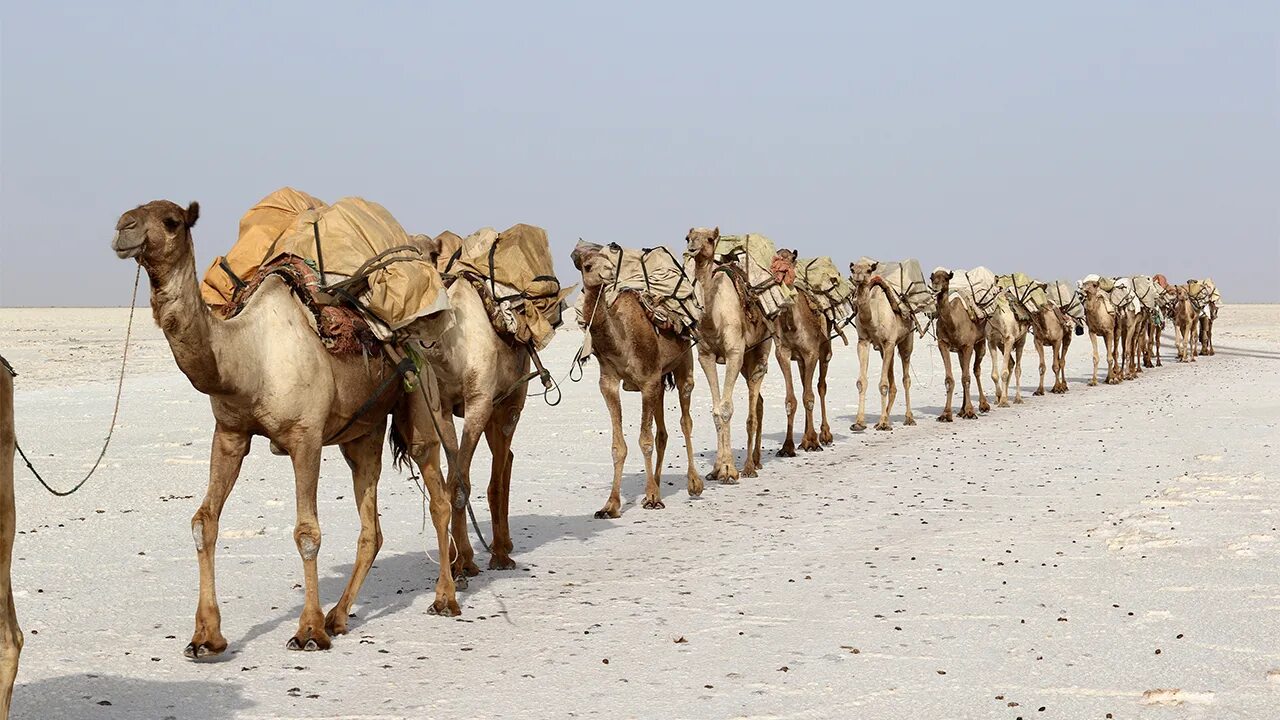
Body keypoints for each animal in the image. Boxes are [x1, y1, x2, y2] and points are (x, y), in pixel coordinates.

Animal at [111, 199, 460, 655]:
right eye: (130, 212)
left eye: (171, 221)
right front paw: (205, 637)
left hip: (419, 400)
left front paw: (308, 631)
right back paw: (339, 616)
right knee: (372, 524)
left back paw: (444, 599)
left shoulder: (305, 437)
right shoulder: (229, 433)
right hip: (361, 434)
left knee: (438, 497)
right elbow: (204, 521)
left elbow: (307, 532)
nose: (124, 229)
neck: (248, 357)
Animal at [576, 249, 706, 512]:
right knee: (662, 433)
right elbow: (618, 446)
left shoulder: (647, 382)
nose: (608, 273)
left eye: (608, 261)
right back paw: (655, 483)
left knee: (685, 420)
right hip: (660, 380)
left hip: (683, 361)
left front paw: (653, 497)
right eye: (587, 266)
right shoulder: (609, 383)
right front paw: (611, 505)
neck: (621, 341)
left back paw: (693, 483)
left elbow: (644, 440)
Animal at [686, 226, 773, 479]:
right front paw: (716, 470)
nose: (692, 249)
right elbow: (716, 411)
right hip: (746, 359)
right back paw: (756, 461)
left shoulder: (735, 352)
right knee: (759, 402)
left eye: (709, 238)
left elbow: (726, 408)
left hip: (761, 348)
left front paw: (729, 470)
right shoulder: (705, 356)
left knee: (754, 404)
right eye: (688, 237)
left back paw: (749, 467)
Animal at [844, 260, 916, 427]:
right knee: (892, 382)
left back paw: (908, 418)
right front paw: (859, 422)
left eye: (869, 270)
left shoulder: (889, 342)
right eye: (852, 269)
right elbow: (861, 382)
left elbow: (883, 384)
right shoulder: (863, 341)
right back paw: (886, 417)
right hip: (885, 350)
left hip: (906, 340)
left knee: (906, 377)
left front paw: (883, 423)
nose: (858, 277)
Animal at [931, 266, 988, 417]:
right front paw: (946, 414)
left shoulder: (968, 345)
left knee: (975, 370)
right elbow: (949, 379)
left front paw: (970, 411)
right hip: (959, 351)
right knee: (964, 369)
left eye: (945, 278)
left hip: (980, 342)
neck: (954, 324)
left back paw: (983, 405)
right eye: (932, 278)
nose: (935, 287)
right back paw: (962, 410)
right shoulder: (943, 344)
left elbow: (966, 377)